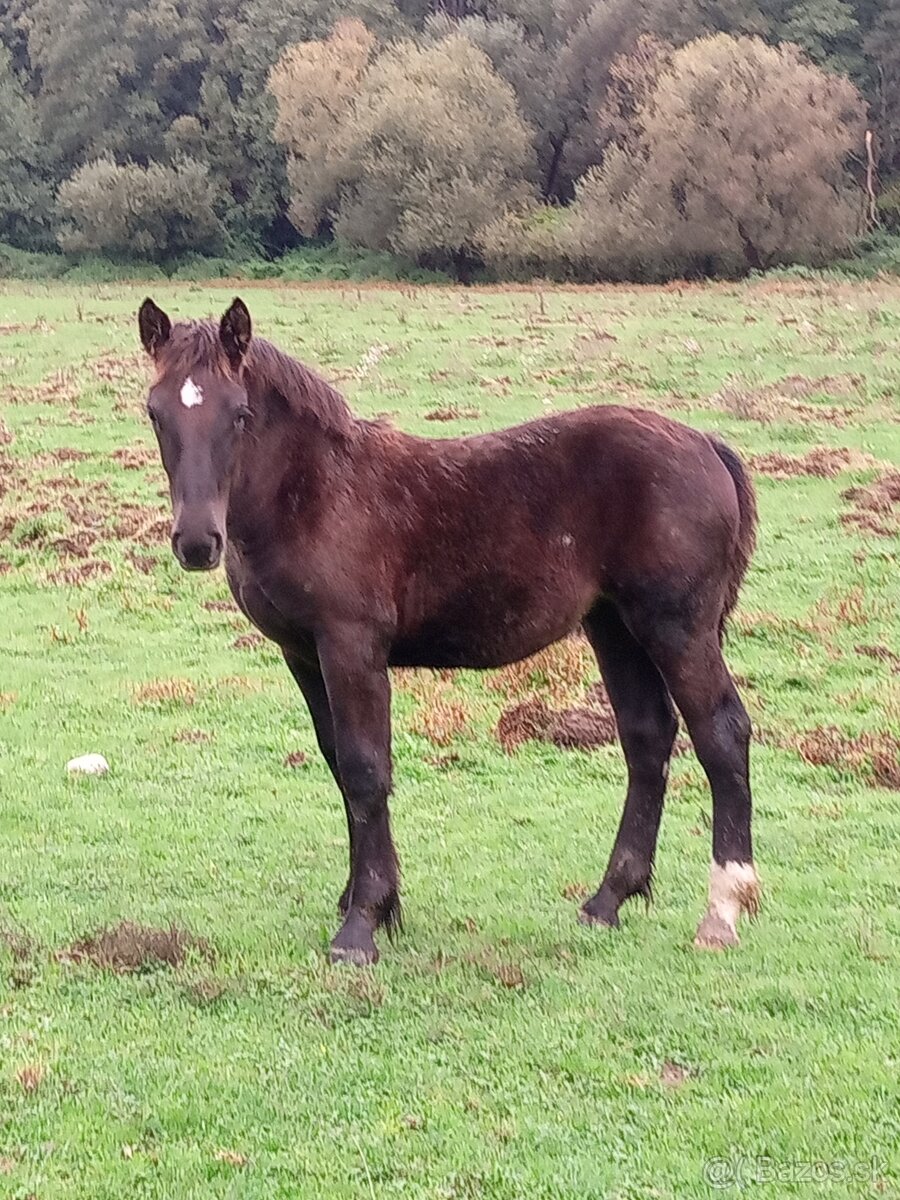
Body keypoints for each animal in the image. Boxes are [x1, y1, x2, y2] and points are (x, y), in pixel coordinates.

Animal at [141, 297, 763, 964]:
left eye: (239, 414)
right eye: (155, 412)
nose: (197, 542)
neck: (315, 492)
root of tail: (704, 443)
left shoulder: (352, 646)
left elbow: (365, 769)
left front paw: (361, 926)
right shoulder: (302, 654)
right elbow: (338, 764)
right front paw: (372, 901)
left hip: (677, 627)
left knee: (721, 733)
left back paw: (722, 911)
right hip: (614, 626)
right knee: (648, 737)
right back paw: (606, 901)